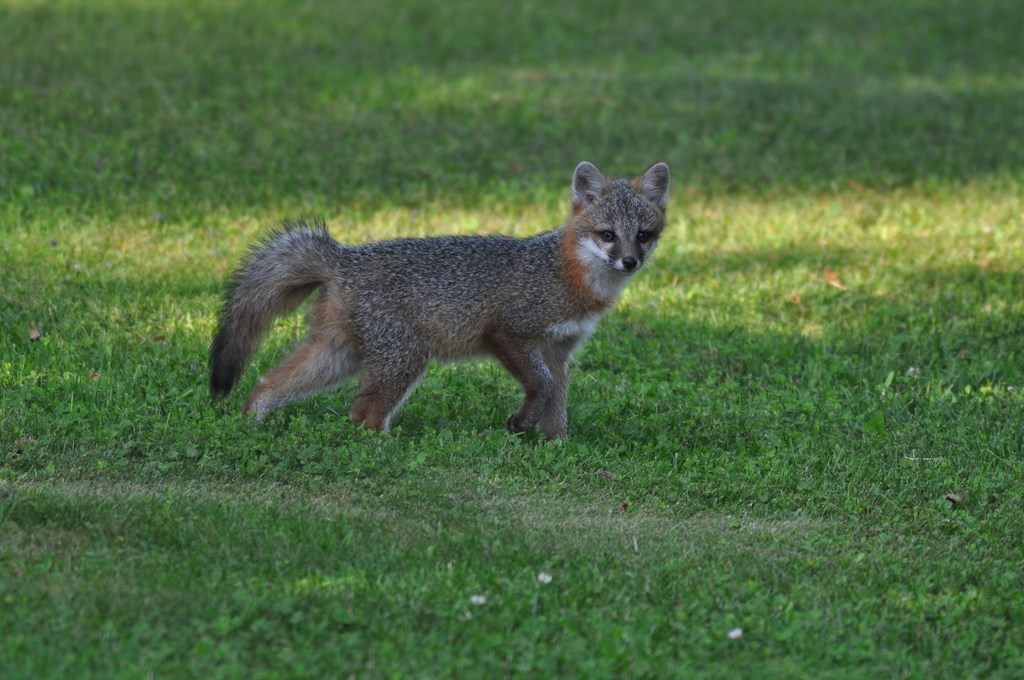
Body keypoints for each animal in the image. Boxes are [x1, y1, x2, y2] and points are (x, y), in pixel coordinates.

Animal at [209, 160, 671, 440]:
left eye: (643, 235)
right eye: (607, 235)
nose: (629, 261)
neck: (568, 274)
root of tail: (342, 256)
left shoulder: (558, 351)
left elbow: (556, 400)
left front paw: (555, 444)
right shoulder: (508, 333)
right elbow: (541, 387)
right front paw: (521, 423)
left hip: (338, 357)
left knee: (268, 383)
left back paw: (250, 420)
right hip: (406, 358)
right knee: (362, 415)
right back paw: (385, 446)